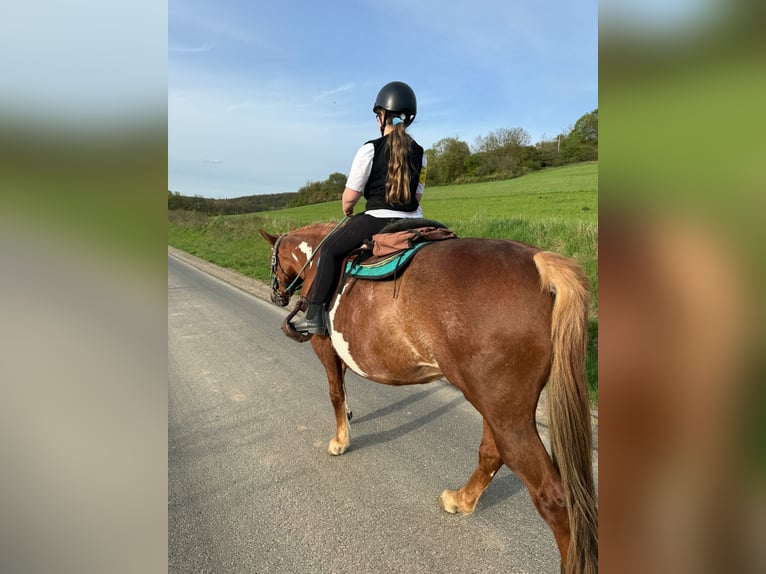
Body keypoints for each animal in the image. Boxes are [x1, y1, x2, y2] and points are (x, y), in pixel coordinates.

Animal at [259, 222, 597, 574]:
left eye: (273, 260)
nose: (276, 293)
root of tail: (539, 262)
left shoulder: (324, 347)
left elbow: (335, 392)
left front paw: (340, 440)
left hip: (505, 413)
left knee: (553, 498)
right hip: (497, 406)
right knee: (492, 453)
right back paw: (460, 500)